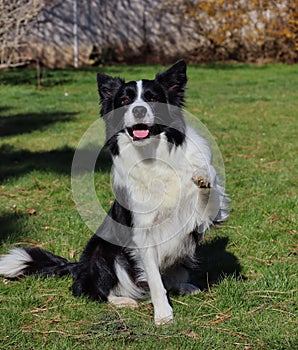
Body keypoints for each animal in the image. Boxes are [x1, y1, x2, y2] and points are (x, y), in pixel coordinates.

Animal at [0, 60, 228, 326]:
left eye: (152, 98)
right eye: (124, 100)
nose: (138, 111)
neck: (153, 153)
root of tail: (78, 266)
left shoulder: (205, 217)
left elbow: (207, 185)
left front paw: (203, 174)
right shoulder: (142, 233)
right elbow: (154, 279)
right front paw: (163, 314)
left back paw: (183, 286)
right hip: (102, 251)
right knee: (90, 289)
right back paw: (123, 300)